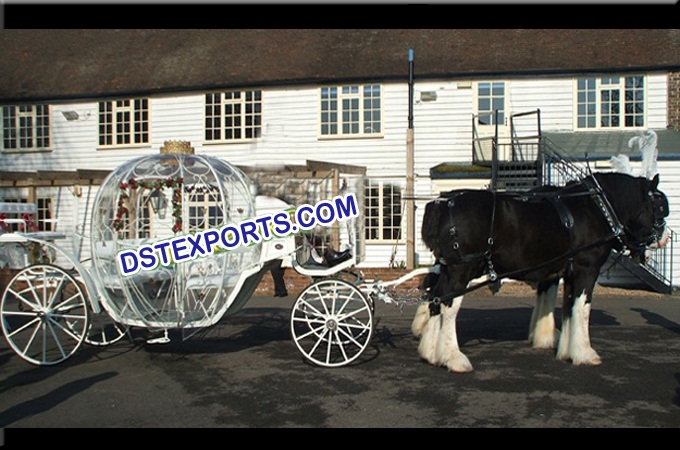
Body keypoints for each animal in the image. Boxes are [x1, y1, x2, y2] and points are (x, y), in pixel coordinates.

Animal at [412, 172, 668, 372]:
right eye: (660, 209)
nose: (664, 239)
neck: (597, 208)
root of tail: (443, 202)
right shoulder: (587, 270)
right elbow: (582, 309)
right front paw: (585, 353)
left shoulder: (568, 272)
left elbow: (569, 308)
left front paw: (565, 350)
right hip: (461, 270)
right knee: (448, 305)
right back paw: (453, 358)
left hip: (449, 268)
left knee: (435, 298)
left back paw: (431, 353)